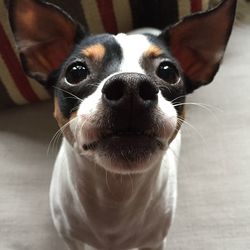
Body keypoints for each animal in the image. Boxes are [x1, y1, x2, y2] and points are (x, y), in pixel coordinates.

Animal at [8, 0, 236, 250]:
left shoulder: (154, 241)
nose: (131, 86)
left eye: (168, 71)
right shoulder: (72, 238)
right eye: (76, 72)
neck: (117, 194)